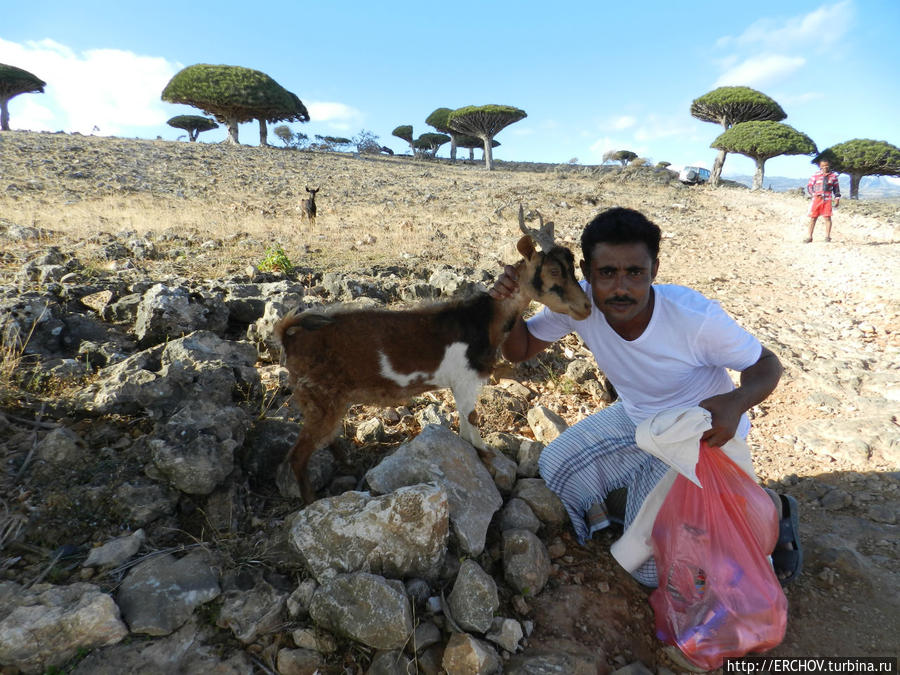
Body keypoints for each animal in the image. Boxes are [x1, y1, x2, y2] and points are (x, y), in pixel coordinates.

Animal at [272, 206, 592, 502]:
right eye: (553, 271)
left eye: (573, 265)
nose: (586, 306)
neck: (483, 320)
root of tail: (289, 337)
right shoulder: (465, 380)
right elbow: (472, 420)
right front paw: (487, 457)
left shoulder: (462, 384)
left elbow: (464, 423)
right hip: (319, 395)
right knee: (298, 456)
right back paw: (310, 501)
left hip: (329, 399)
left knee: (326, 438)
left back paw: (347, 464)